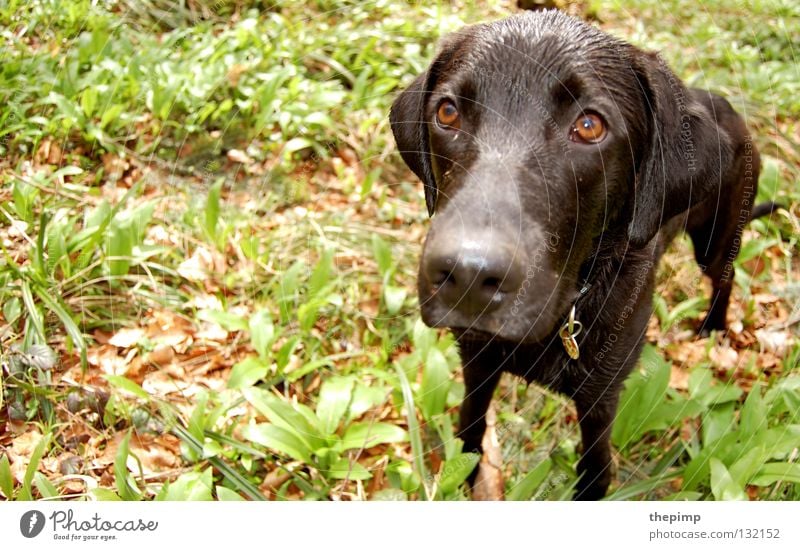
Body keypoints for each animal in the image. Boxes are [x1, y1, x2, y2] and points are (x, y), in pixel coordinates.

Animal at [390, 9, 780, 500]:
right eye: (447, 112)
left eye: (590, 125)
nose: (467, 276)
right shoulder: (477, 365)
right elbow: (470, 432)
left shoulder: (602, 397)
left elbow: (595, 467)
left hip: (716, 239)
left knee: (724, 277)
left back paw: (713, 327)